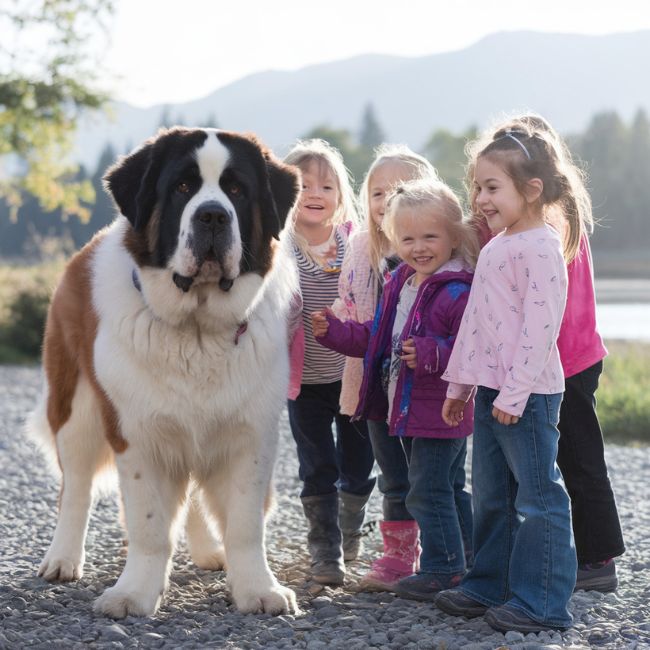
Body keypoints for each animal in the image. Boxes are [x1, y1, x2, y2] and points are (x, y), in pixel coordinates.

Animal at [29, 126, 302, 616]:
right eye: (182, 187)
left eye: (237, 190)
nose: (212, 215)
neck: (197, 330)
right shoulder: (136, 436)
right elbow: (150, 525)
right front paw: (134, 593)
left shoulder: (252, 435)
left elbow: (246, 524)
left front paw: (258, 589)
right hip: (75, 408)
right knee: (75, 487)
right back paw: (62, 559)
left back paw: (209, 551)